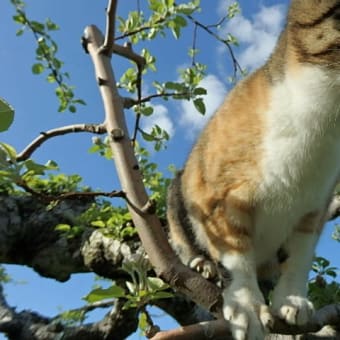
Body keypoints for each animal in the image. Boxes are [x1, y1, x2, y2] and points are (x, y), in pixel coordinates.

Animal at [166, 1, 340, 338]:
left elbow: (300, 255)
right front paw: (246, 306)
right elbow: (235, 252)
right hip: (176, 194)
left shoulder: (316, 206)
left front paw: (292, 298)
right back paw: (202, 264)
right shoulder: (216, 197)